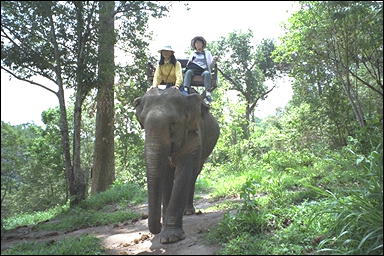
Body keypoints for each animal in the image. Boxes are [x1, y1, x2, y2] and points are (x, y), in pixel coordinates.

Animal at [134, 87, 219, 244]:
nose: (158, 227)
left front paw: (170, 238)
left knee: (194, 174)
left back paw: (188, 211)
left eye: (173, 123)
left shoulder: (193, 135)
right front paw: (164, 227)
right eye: (142, 123)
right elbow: (166, 175)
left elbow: (184, 172)